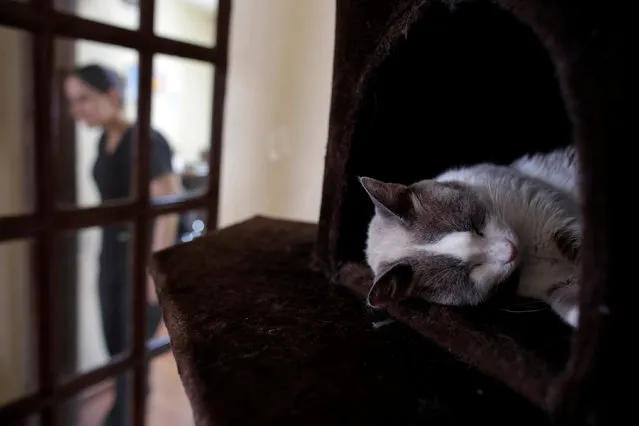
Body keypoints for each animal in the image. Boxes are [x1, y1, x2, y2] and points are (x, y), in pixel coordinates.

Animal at [360, 145, 584, 328]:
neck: (531, 253)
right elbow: (571, 305)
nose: (511, 250)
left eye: (476, 224)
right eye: (472, 270)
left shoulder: (554, 213)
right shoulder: (554, 284)